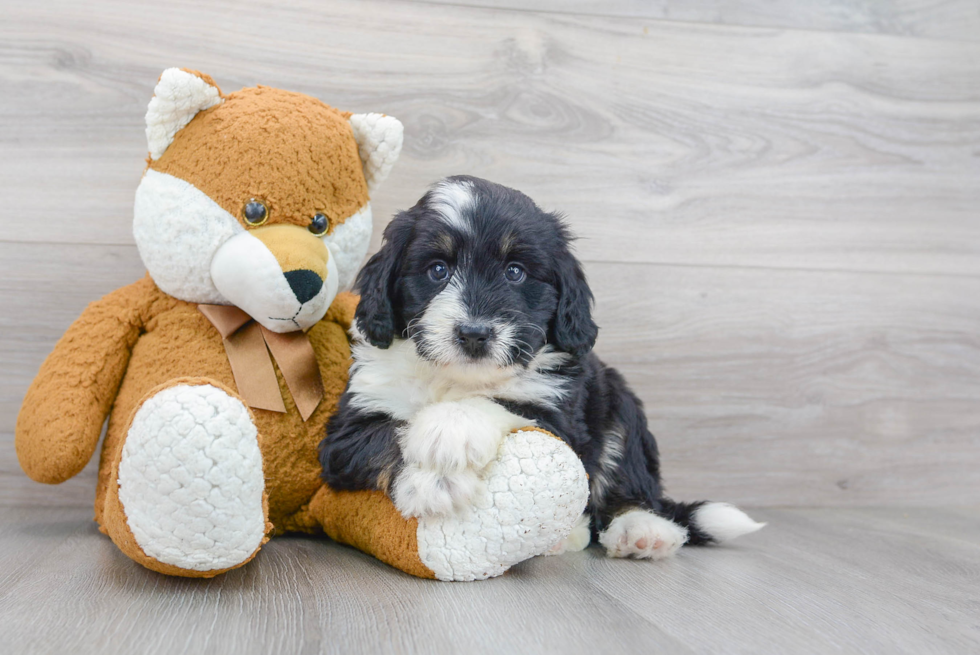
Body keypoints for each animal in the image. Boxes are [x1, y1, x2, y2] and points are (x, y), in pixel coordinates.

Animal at [322, 177, 764, 560]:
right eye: (437, 269)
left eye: (515, 271)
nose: (474, 333)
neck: (456, 377)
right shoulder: (347, 430)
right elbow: (384, 435)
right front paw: (434, 480)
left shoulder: (559, 413)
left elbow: (503, 404)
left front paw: (448, 432)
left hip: (621, 405)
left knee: (627, 481)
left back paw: (641, 529)